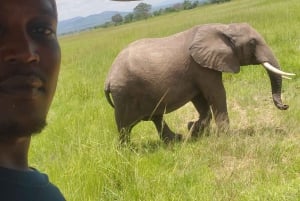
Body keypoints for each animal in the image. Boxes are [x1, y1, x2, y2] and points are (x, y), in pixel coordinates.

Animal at [105, 22, 296, 144]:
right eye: (252, 42)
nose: (285, 106)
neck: (223, 27)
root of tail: (107, 79)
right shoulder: (201, 67)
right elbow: (217, 94)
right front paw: (225, 137)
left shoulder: (198, 70)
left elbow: (200, 99)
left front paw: (195, 130)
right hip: (125, 94)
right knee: (126, 127)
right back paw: (128, 151)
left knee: (156, 117)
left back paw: (176, 140)